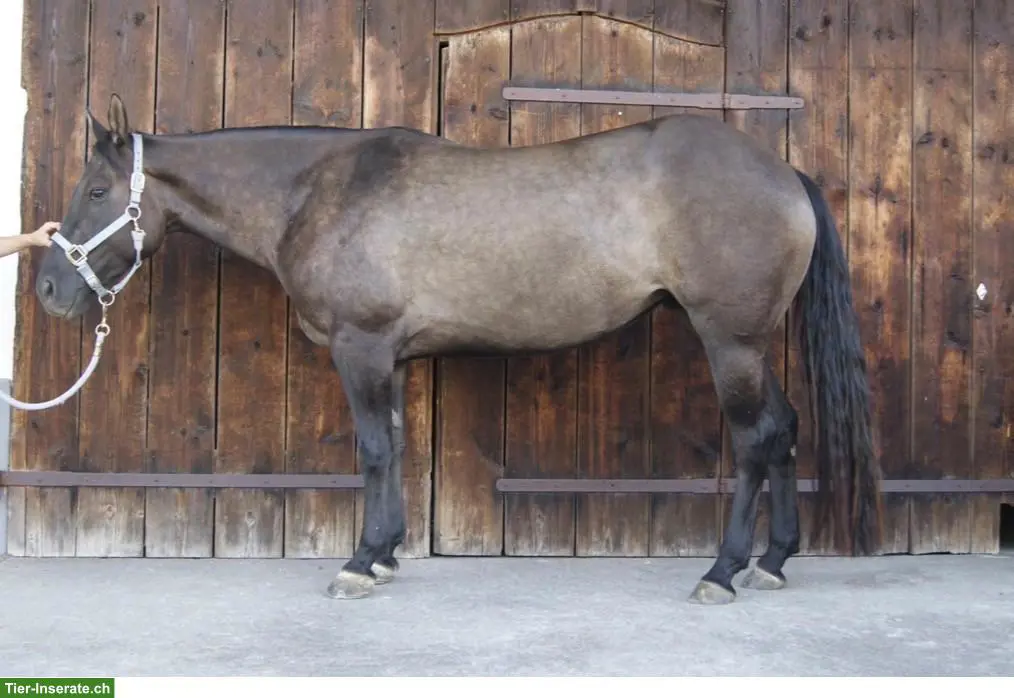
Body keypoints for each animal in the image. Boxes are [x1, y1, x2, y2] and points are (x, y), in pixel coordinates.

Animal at [34, 93, 882, 604]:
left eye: (97, 192)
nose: (47, 288)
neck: (317, 191)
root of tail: (781, 171)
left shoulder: (362, 347)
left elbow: (375, 450)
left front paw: (358, 564)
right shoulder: (390, 357)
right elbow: (399, 446)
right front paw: (385, 553)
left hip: (728, 341)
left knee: (755, 441)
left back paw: (723, 571)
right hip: (750, 345)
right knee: (783, 431)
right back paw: (773, 561)